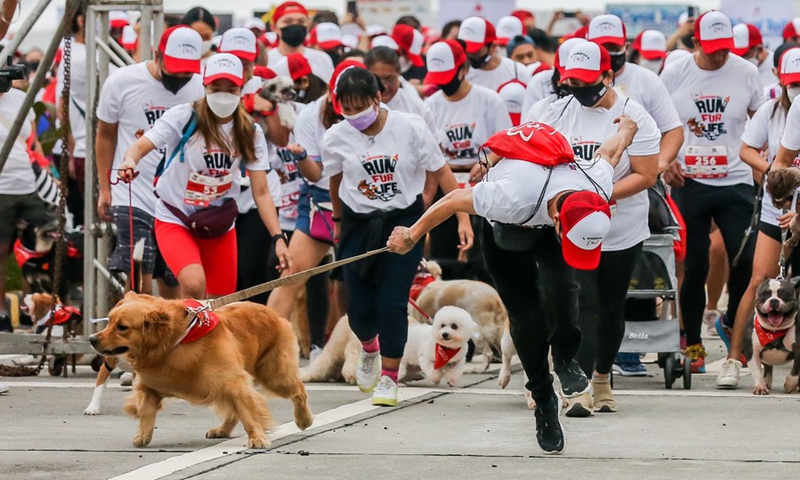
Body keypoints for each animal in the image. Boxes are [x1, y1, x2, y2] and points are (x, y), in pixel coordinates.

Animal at [89, 292, 310, 450]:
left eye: (122, 327)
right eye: (108, 321)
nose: (91, 339)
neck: (173, 344)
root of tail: (273, 313)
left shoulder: (233, 381)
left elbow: (248, 413)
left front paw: (257, 436)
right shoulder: (149, 386)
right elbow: (146, 411)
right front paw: (142, 434)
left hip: (275, 375)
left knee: (299, 392)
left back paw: (304, 419)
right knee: (234, 412)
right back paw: (222, 429)